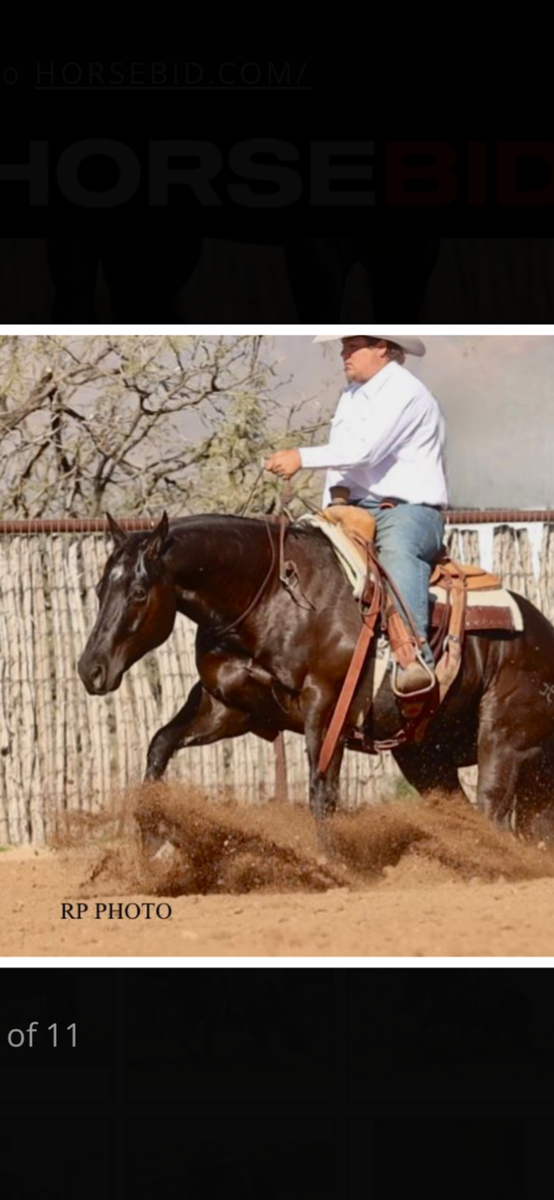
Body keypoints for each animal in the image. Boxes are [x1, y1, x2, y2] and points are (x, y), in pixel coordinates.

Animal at [77, 511, 554, 852]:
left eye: (138, 592)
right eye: (99, 589)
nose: (90, 669)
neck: (270, 598)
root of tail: (542, 630)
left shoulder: (326, 709)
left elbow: (321, 791)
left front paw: (330, 864)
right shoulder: (226, 709)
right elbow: (160, 745)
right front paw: (153, 847)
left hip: (502, 742)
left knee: (492, 810)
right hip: (425, 756)